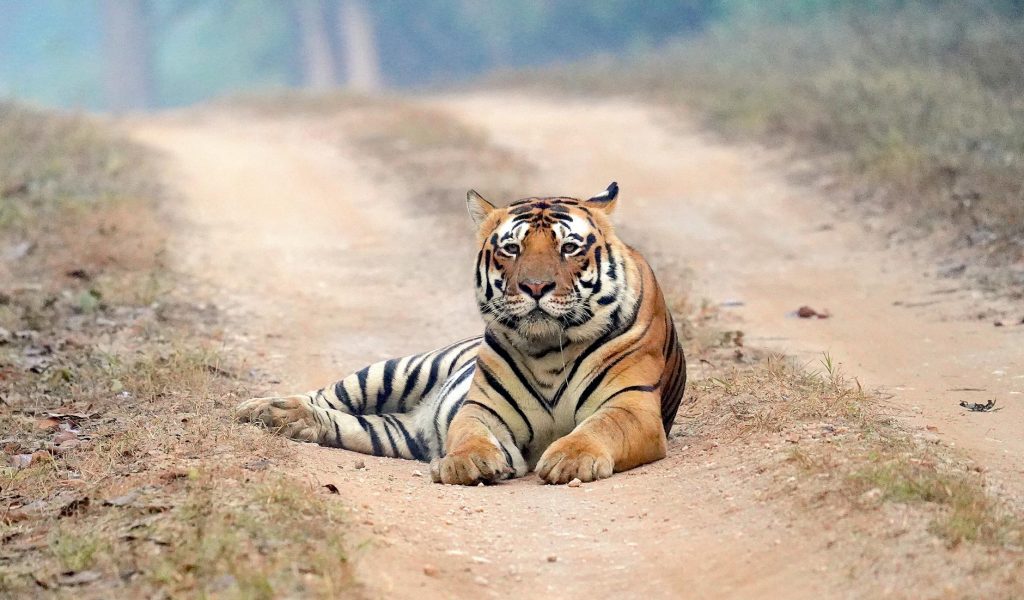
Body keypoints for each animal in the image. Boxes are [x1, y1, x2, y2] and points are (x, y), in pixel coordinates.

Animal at [235, 182, 686, 485]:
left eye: (569, 248)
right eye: (512, 249)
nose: (535, 287)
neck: (548, 351)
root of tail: (416, 419)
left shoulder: (632, 405)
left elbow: (598, 428)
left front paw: (570, 459)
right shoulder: (483, 407)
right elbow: (470, 433)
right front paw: (468, 462)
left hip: (393, 433)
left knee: (347, 422)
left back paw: (289, 421)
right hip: (395, 371)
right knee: (330, 395)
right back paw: (264, 409)